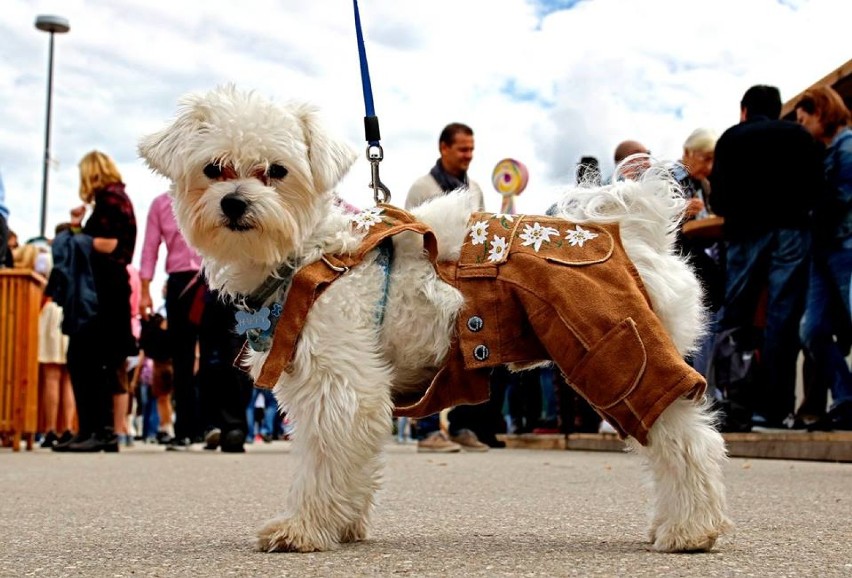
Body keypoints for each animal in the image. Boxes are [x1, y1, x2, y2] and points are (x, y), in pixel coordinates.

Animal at [140, 86, 732, 552]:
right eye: (213, 170)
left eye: (277, 172)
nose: (235, 203)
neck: (306, 253)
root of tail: (633, 230)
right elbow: (347, 462)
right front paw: (343, 524)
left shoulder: (343, 385)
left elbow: (323, 463)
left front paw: (305, 528)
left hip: (616, 354)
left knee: (687, 440)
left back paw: (691, 530)